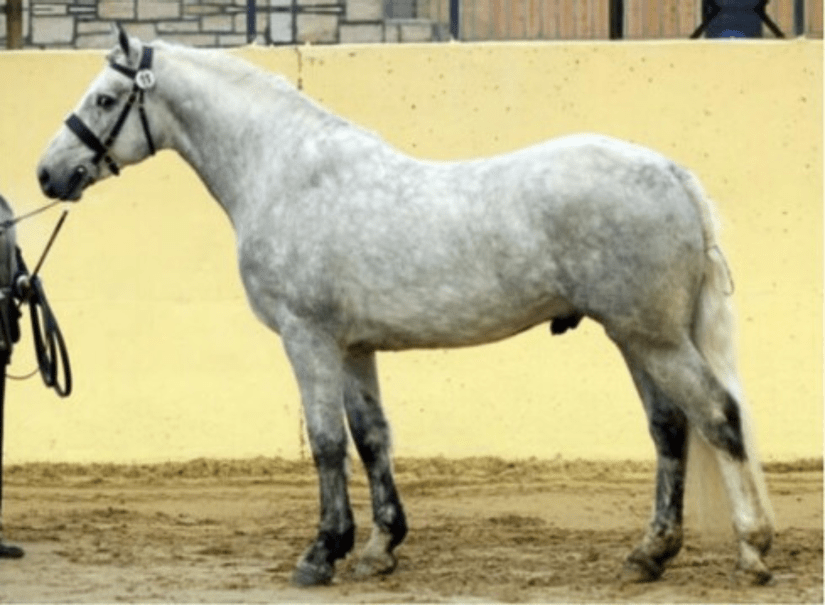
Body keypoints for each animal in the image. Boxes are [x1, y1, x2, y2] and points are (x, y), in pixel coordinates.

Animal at [36, 26, 774, 587]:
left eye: (104, 98)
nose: (49, 173)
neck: (285, 174)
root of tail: (671, 173)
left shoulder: (307, 339)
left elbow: (327, 443)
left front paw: (321, 552)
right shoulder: (353, 347)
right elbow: (372, 438)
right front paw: (378, 548)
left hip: (652, 337)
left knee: (718, 417)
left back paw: (753, 551)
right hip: (634, 337)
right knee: (669, 430)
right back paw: (649, 553)